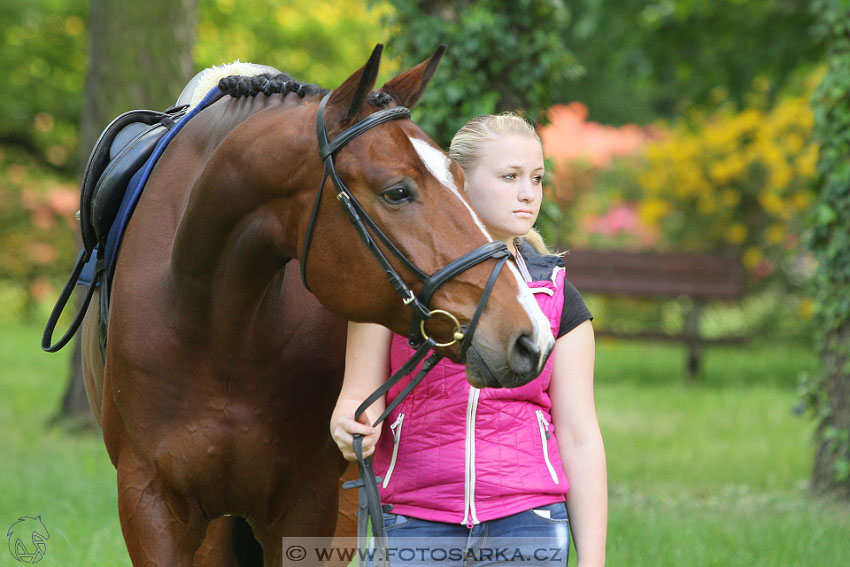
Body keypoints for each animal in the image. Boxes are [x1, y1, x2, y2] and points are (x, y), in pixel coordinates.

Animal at [76, 45, 552, 567]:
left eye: (463, 180)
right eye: (397, 191)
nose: (530, 336)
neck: (215, 323)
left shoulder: (309, 505)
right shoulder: (150, 505)